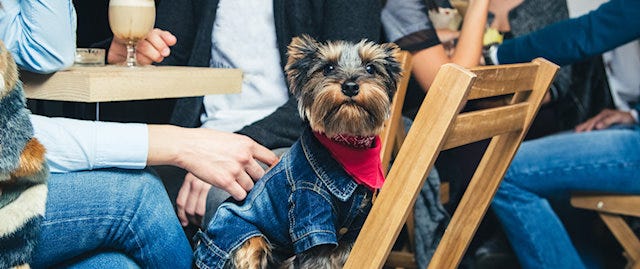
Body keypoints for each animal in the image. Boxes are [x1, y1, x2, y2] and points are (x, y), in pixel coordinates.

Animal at [195, 35, 402, 268]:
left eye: (370, 68)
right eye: (328, 68)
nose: (350, 86)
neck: (347, 146)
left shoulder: (357, 224)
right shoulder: (310, 212)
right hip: (247, 239)